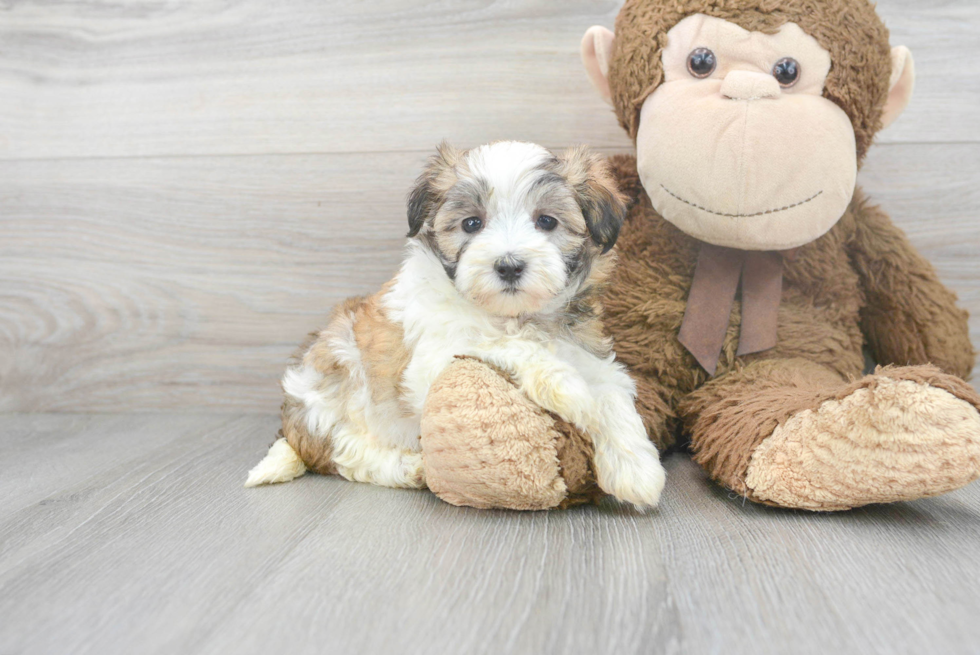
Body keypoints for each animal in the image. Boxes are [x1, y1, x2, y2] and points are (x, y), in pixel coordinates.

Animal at [247, 142, 668, 512]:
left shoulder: (585, 351)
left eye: (547, 221)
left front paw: (637, 470)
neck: (513, 315)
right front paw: (567, 386)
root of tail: (291, 428)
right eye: (472, 224)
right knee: (349, 455)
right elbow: (501, 343)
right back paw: (408, 467)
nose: (509, 265)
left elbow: (613, 394)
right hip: (330, 392)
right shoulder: (431, 358)